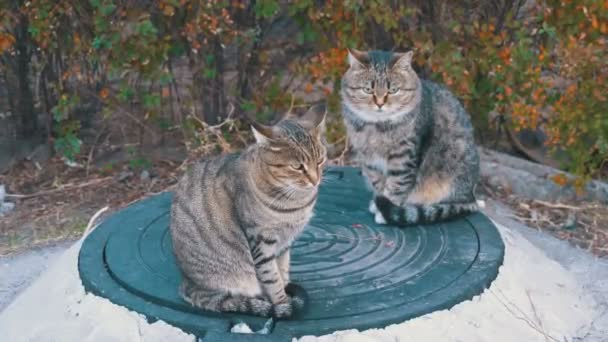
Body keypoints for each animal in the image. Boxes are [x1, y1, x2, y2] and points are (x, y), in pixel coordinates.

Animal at [169, 105, 326, 318]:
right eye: (297, 166)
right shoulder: (262, 240)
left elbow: (282, 272)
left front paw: (285, 293)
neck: (295, 201)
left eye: (320, 161)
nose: (315, 180)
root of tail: (188, 283)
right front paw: (283, 305)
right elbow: (272, 278)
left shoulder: (285, 244)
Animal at [342, 47, 480, 224]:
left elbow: (397, 185)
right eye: (367, 90)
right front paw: (378, 201)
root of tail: (471, 197)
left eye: (393, 90)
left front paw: (385, 210)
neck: (377, 127)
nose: (379, 104)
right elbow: (378, 182)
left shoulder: (403, 158)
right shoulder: (370, 160)